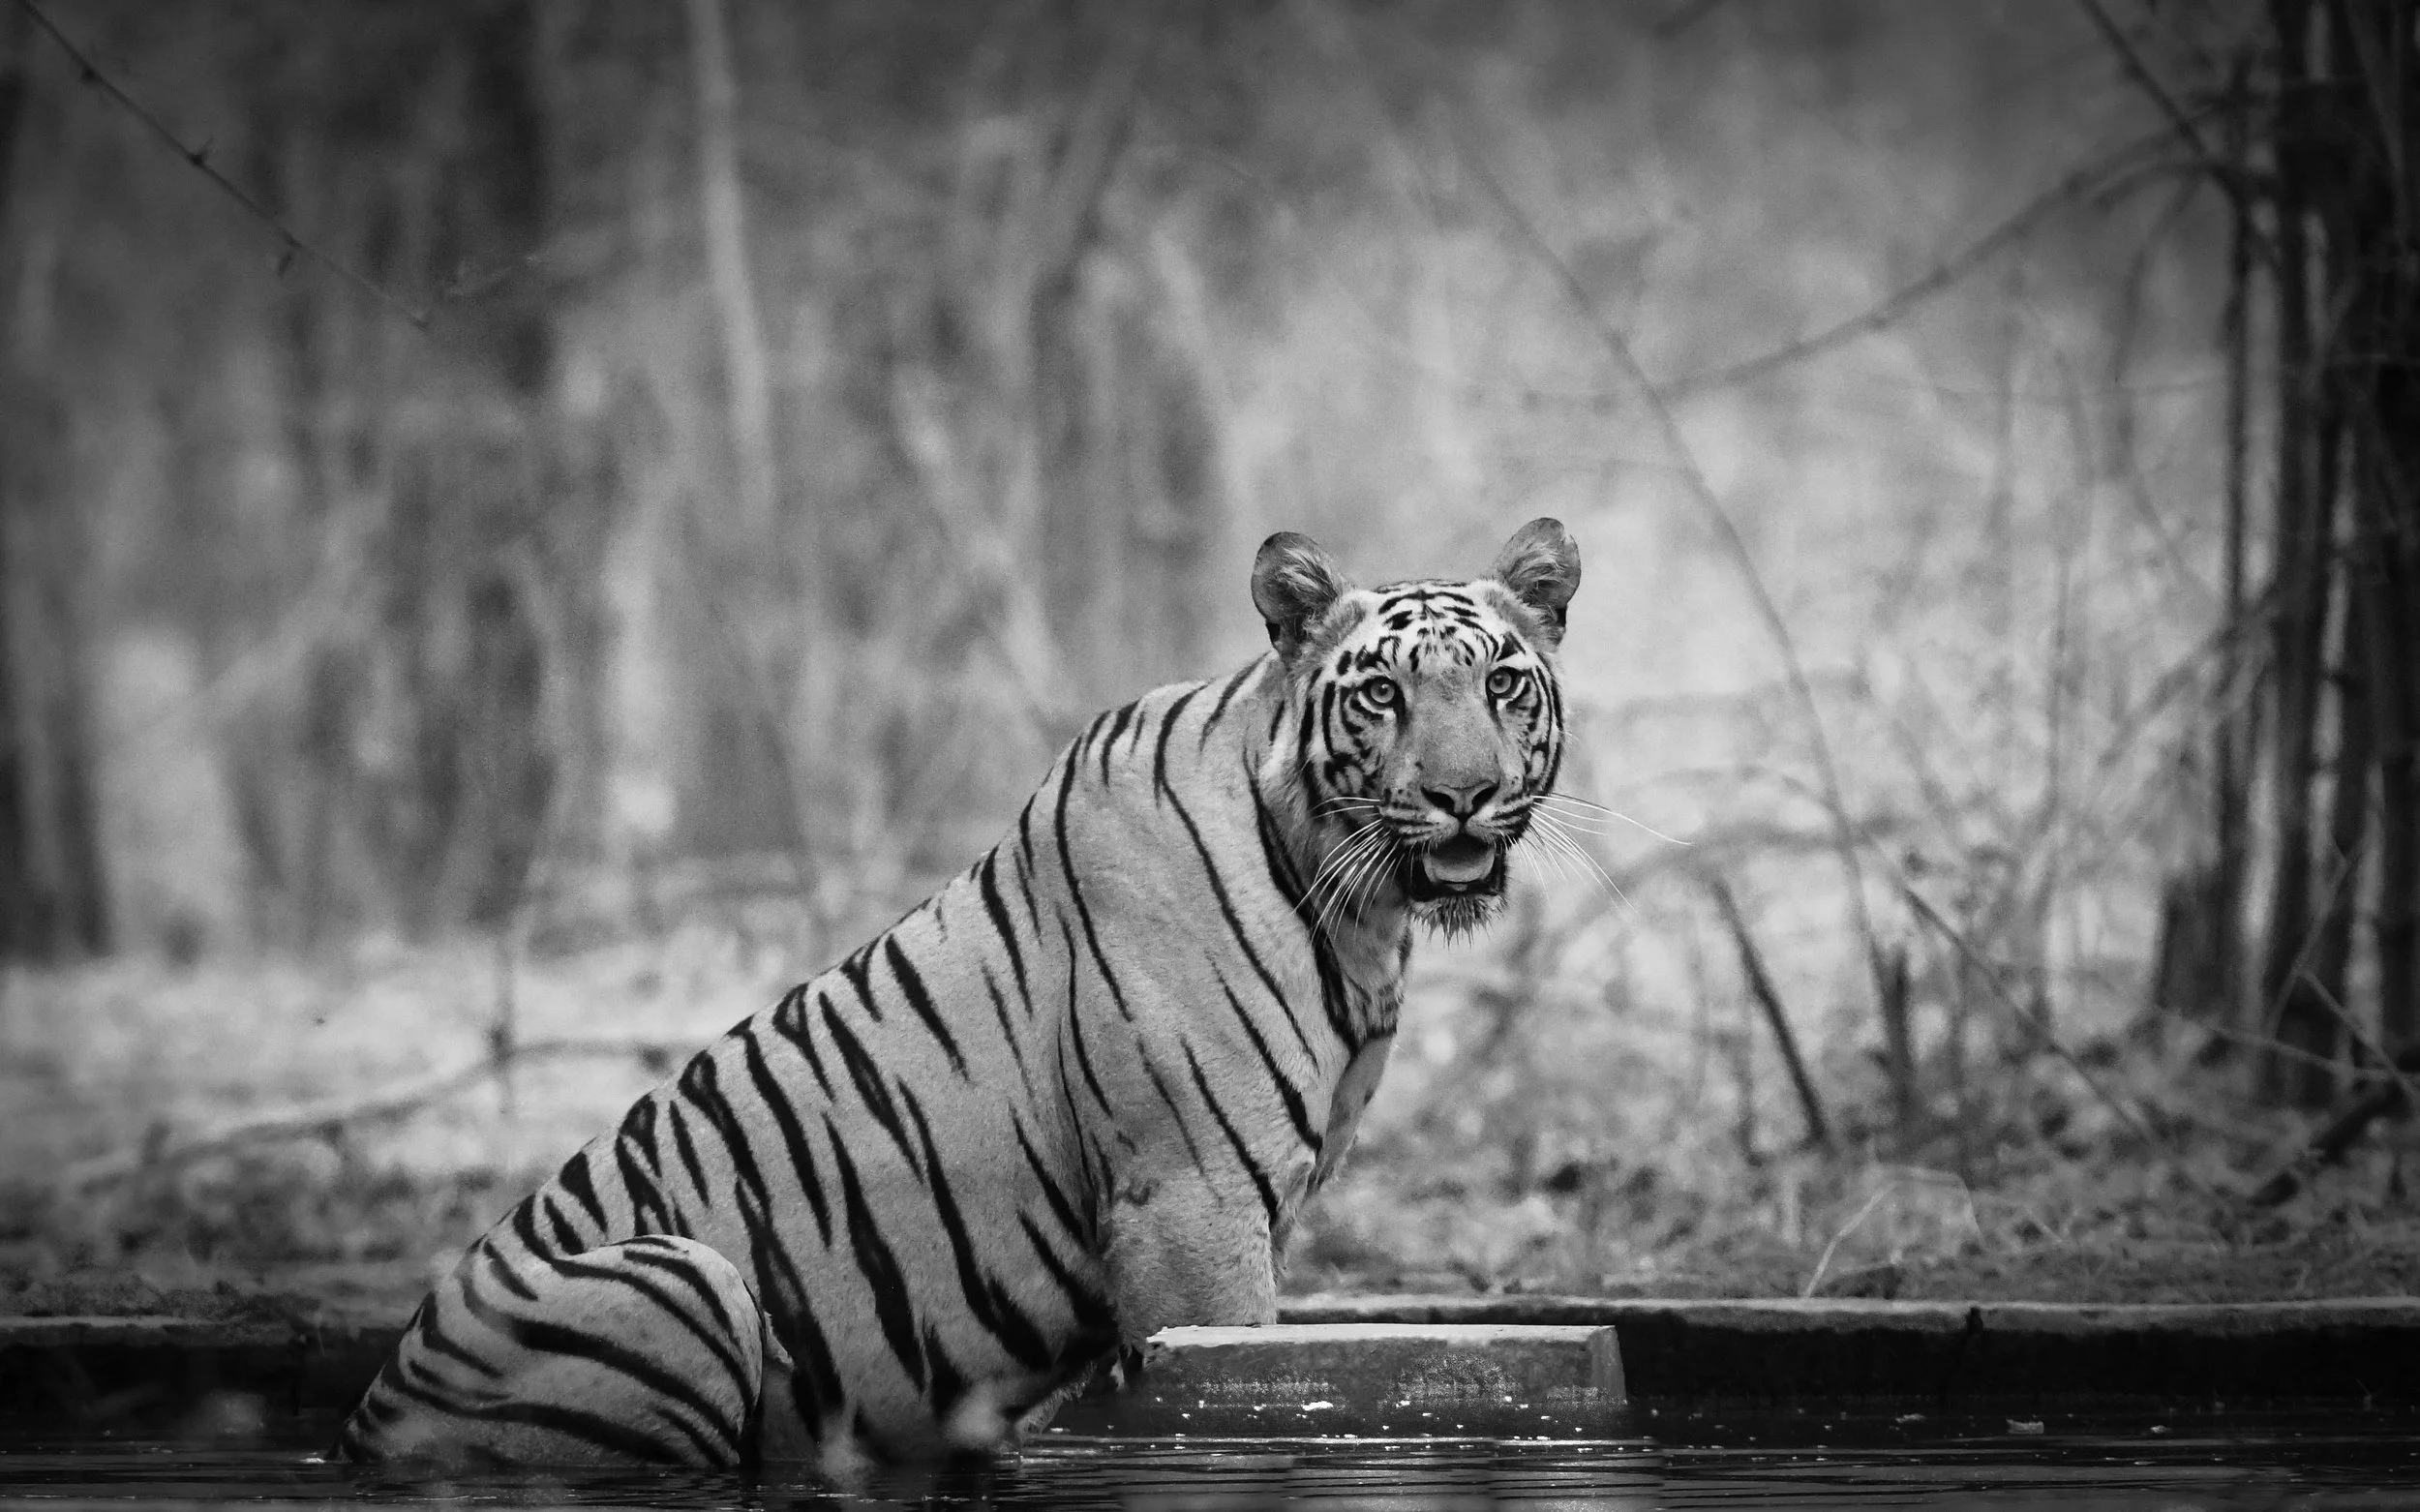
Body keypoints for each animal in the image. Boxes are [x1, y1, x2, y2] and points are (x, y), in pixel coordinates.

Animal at [334, 517, 1582, 1478]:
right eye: (1381, 692)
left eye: (1499, 681)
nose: (1462, 794)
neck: (1360, 916)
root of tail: (370, 1413)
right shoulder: (1192, 1205)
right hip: (682, 1274)